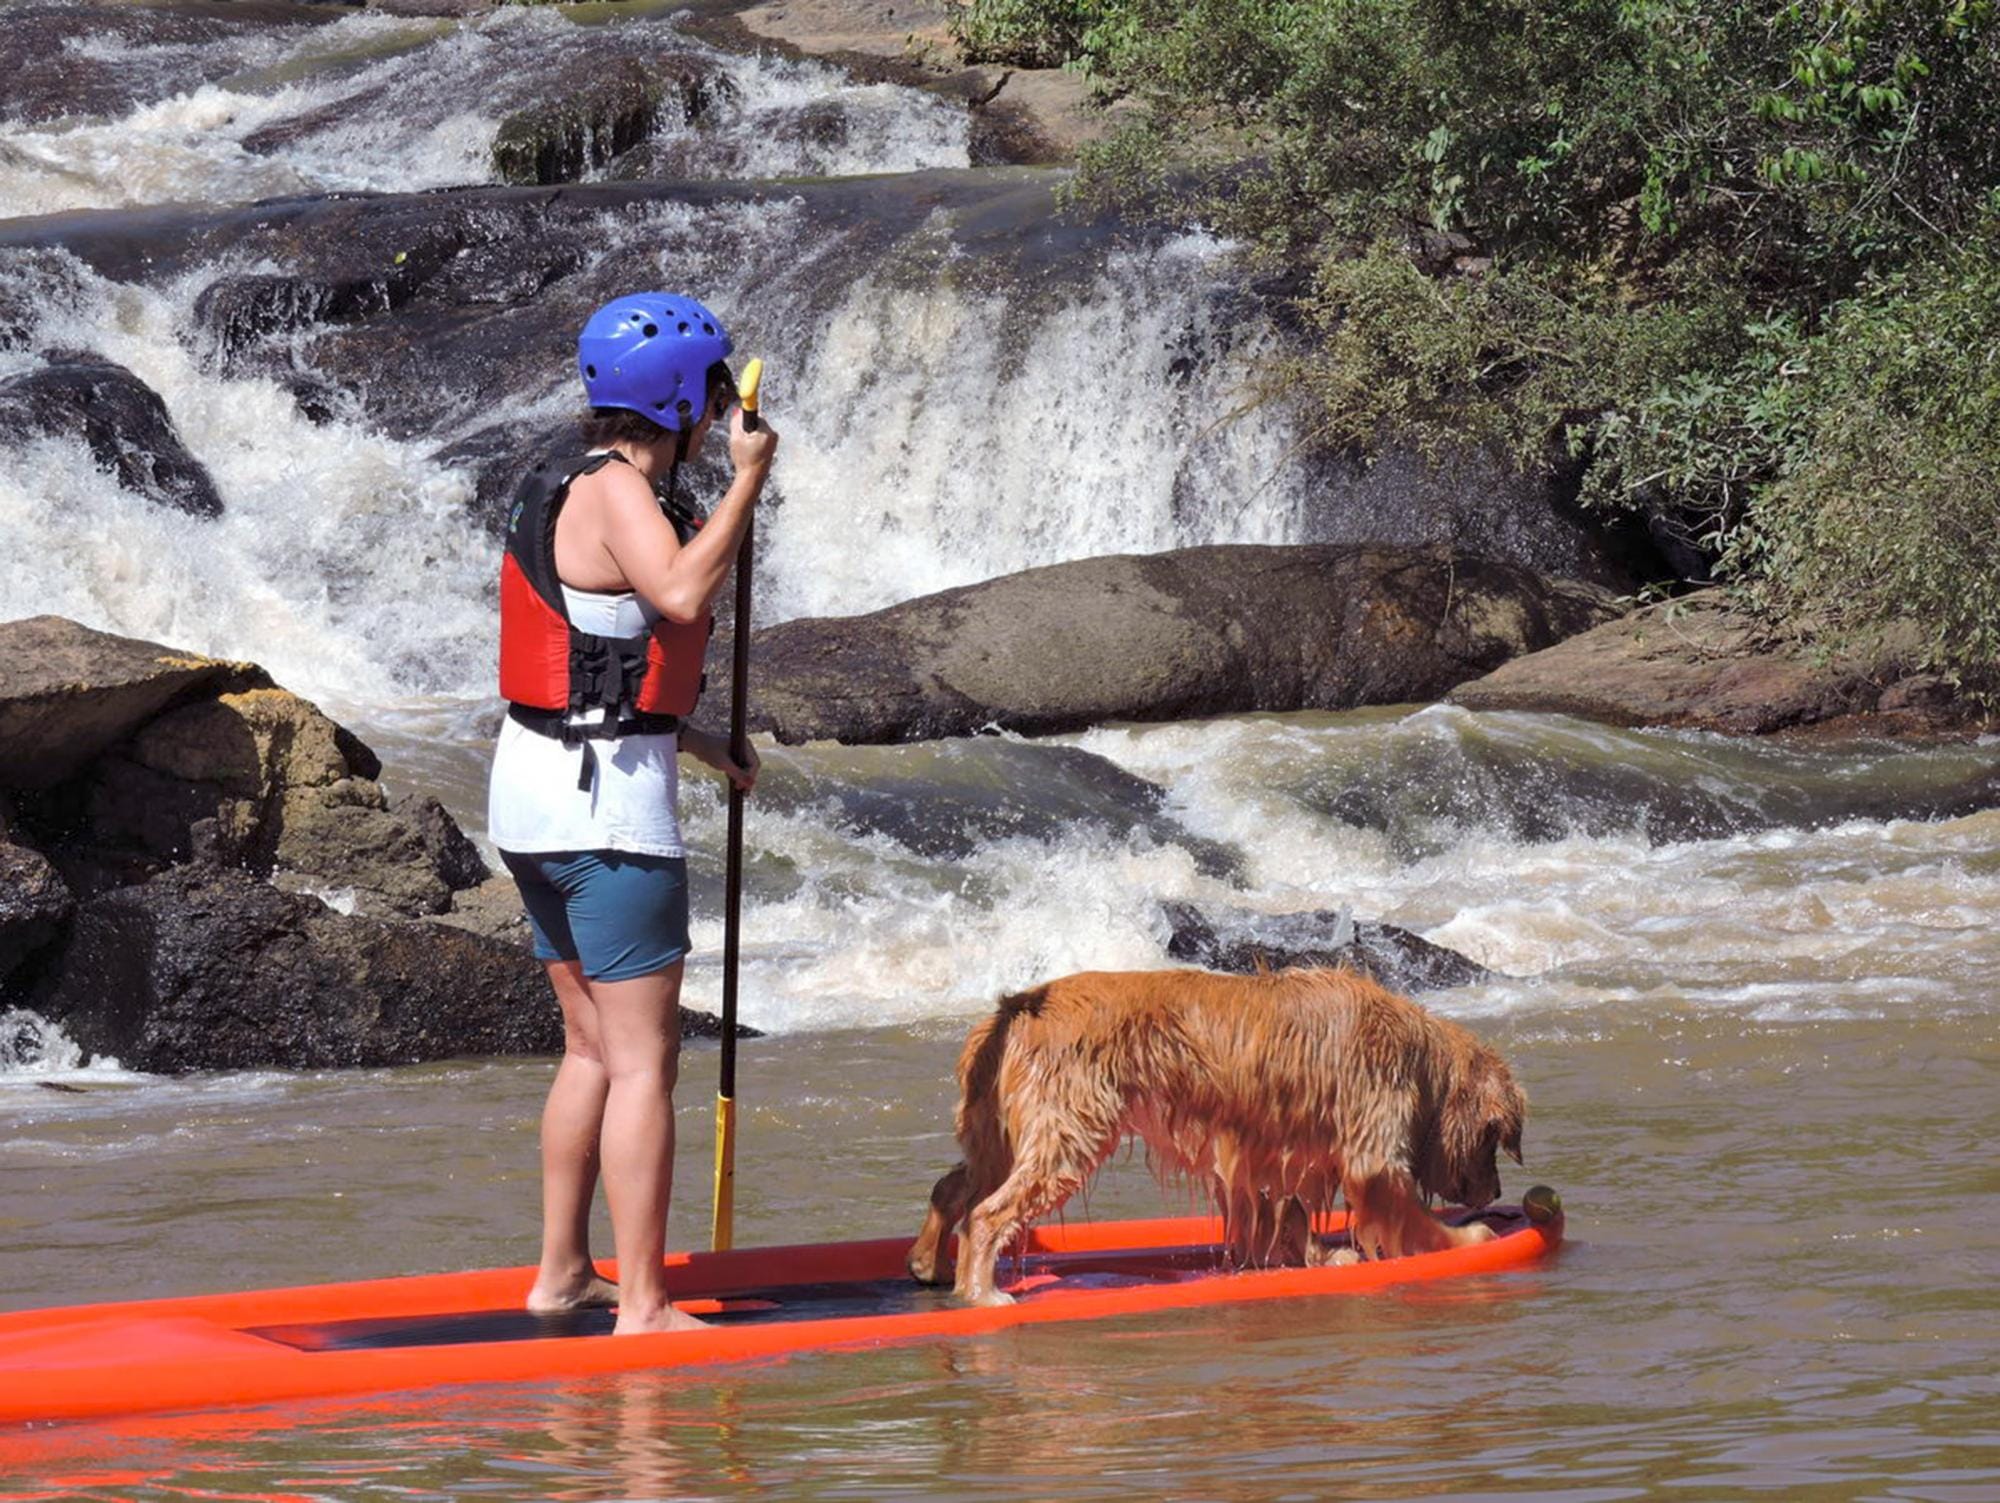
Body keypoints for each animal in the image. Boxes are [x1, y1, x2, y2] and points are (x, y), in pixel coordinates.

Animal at [908, 963, 1528, 1303]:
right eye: (1494, 1139)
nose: (1497, 1195)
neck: (1420, 1056)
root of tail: (1010, 1010)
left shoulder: (1273, 1145)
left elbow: (1287, 1209)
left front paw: (1317, 1256)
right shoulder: (1372, 1145)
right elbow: (1406, 1212)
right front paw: (1467, 1238)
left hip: (1000, 1132)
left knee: (954, 1187)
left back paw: (929, 1263)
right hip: (1067, 1131)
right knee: (988, 1214)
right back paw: (981, 1294)